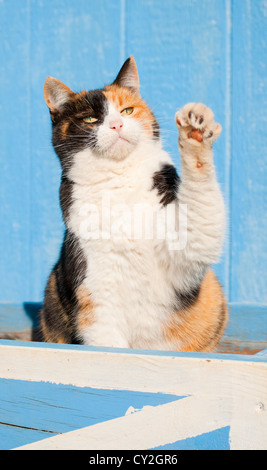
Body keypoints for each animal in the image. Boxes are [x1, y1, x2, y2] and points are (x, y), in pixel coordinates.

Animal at [40, 55, 229, 350]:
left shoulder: (185, 252)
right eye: (91, 118)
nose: (116, 125)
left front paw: (195, 131)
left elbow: (201, 214)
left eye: (127, 110)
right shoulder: (95, 292)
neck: (120, 180)